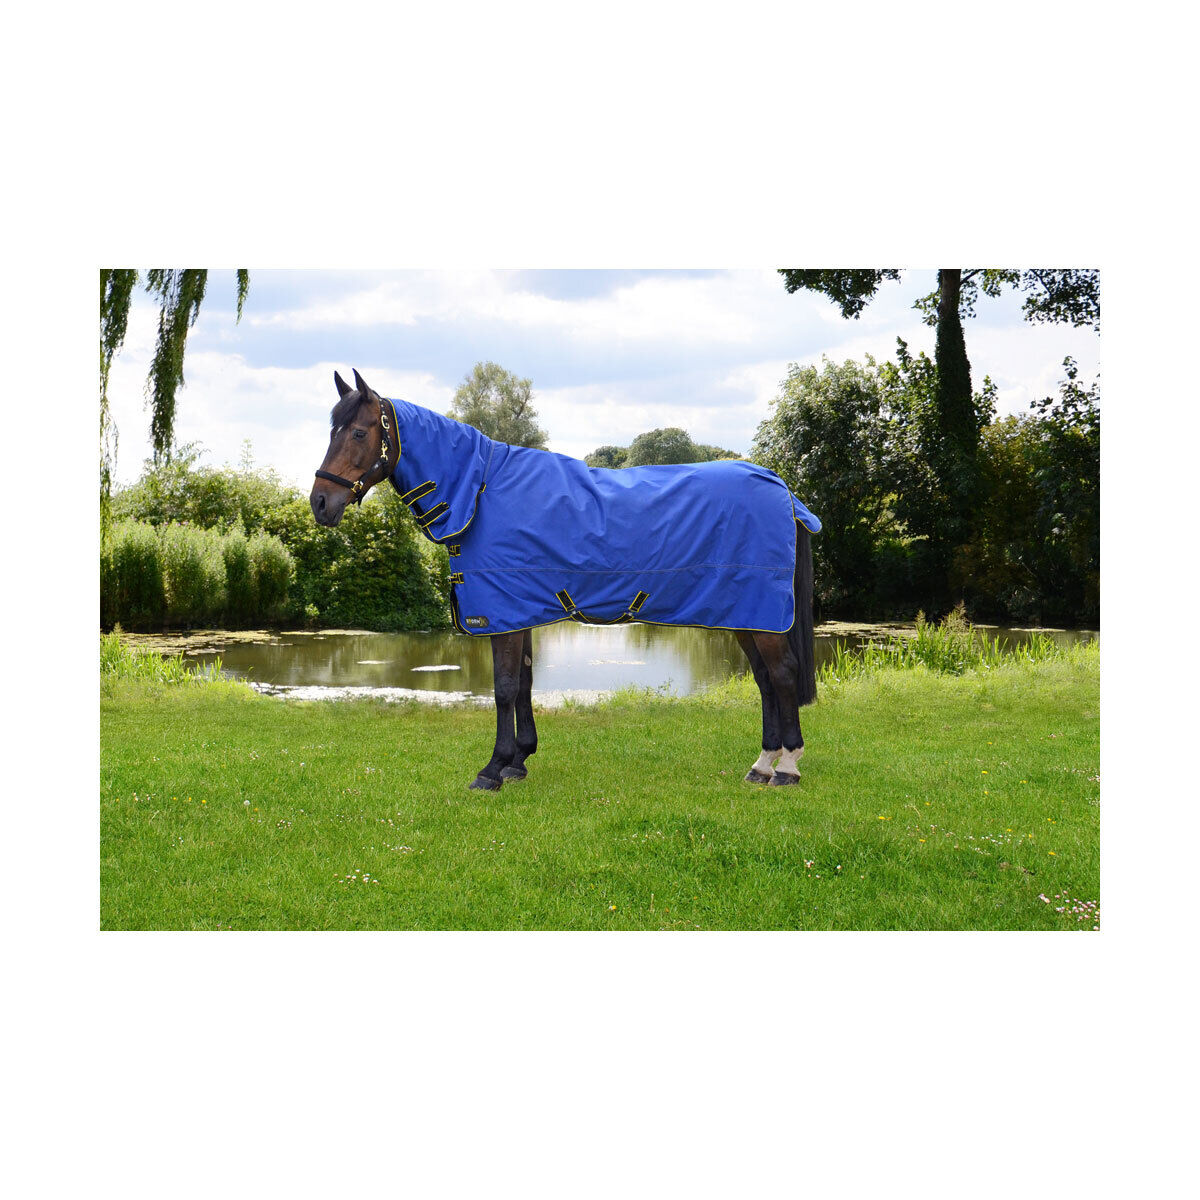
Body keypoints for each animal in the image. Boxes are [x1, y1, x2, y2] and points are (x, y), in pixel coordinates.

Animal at [310, 369, 821, 792]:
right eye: (331, 431)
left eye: (359, 432)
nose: (320, 503)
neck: (481, 492)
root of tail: (781, 486)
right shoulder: (518, 611)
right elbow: (524, 683)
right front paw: (518, 761)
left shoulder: (501, 612)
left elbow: (503, 688)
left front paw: (491, 770)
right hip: (745, 614)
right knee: (765, 679)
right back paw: (762, 765)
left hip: (760, 613)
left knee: (782, 674)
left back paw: (788, 768)